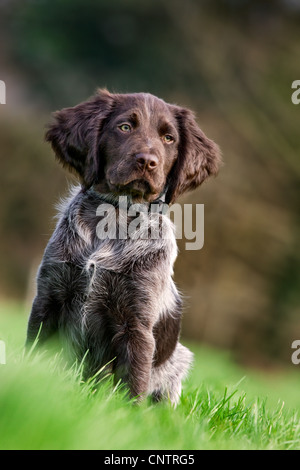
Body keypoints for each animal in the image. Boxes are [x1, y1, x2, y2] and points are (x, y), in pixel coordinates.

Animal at [27, 89, 221, 404]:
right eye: (125, 127)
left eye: (169, 138)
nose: (147, 161)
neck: (114, 218)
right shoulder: (48, 299)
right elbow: (34, 355)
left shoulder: (137, 325)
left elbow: (132, 386)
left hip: (178, 361)